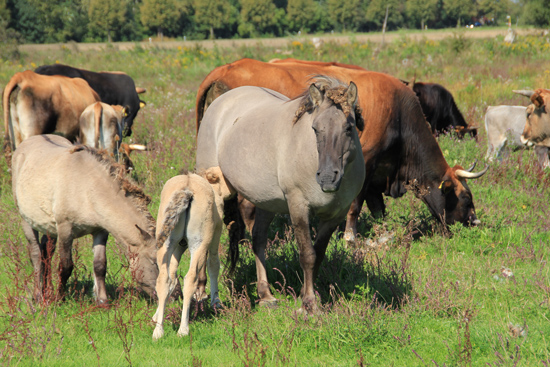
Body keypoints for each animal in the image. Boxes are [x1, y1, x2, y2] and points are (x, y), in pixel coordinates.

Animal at [11, 135, 160, 304]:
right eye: (154, 261)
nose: (174, 295)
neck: (88, 188)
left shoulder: (100, 231)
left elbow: (100, 265)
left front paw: (102, 301)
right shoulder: (65, 230)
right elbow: (65, 266)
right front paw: (60, 298)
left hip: (48, 227)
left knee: (46, 252)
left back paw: (46, 290)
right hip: (27, 221)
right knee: (36, 254)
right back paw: (38, 295)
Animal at [153, 170, 231, 342]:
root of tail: (186, 190)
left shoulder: (177, 247)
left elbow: (171, 278)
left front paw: (156, 315)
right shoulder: (216, 234)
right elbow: (214, 265)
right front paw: (216, 302)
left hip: (166, 241)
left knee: (163, 278)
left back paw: (158, 331)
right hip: (199, 243)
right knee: (190, 279)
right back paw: (183, 329)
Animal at [196, 58, 490, 247]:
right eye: (466, 198)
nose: (475, 223)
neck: (398, 114)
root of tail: (226, 67)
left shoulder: (377, 174)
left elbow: (378, 208)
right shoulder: (364, 163)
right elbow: (356, 206)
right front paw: (350, 236)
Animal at [196, 77, 368, 314]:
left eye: (349, 127)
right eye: (315, 129)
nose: (326, 178)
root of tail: (221, 101)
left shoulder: (335, 216)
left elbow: (318, 254)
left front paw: (306, 297)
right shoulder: (298, 207)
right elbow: (307, 255)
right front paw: (309, 304)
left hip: (266, 201)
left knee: (258, 239)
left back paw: (265, 295)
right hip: (213, 191)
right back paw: (202, 293)